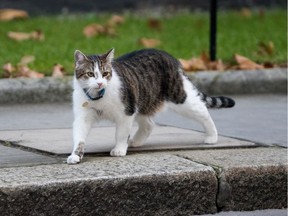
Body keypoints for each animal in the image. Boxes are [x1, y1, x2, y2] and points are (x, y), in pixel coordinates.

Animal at [67, 48, 234, 164]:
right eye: (90, 74)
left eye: (106, 74)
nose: (100, 83)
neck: (98, 96)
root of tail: (169, 57)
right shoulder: (83, 116)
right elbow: (79, 137)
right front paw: (75, 154)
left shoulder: (126, 112)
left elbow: (121, 133)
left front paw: (119, 149)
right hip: (143, 101)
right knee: (148, 124)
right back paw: (135, 141)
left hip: (179, 98)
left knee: (202, 111)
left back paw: (212, 136)